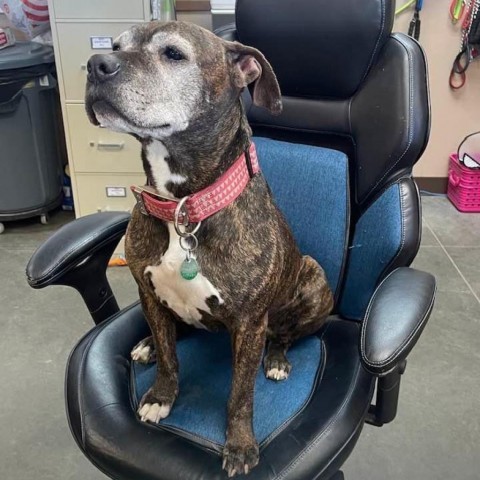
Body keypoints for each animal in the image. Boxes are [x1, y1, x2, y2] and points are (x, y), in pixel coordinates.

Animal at [85, 21, 334, 476]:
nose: (96, 64)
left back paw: (277, 359)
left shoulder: (250, 324)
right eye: (115, 45)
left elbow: (241, 394)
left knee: (286, 334)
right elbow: (170, 359)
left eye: (173, 54)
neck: (183, 206)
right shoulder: (149, 293)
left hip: (313, 278)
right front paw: (161, 396)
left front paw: (240, 445)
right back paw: (148, 344)